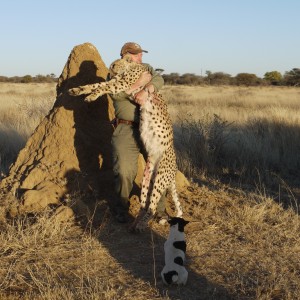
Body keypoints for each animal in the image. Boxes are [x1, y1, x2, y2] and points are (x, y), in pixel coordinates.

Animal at [68, 56, 183, 231]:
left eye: (115, 64)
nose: (110, 70)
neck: (129, 68)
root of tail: (174, 166)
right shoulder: (119, 82)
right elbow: (97, 85)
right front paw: (77, 90)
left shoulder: (125, 84)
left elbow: (106, 86)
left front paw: (91, 96)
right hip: (147, 178)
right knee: (145, 204)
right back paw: (135, 223)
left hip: (160, 178)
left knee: (152, 206)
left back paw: (141, 225)